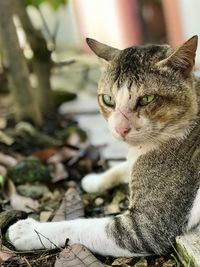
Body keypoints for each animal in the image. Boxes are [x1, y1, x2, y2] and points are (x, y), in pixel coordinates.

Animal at [7, 35, 200, 258]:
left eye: (147, 99)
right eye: (108, 100)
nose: (120, 128)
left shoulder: (147, 227)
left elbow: (79, 227)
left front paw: (27, 230)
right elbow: (121, 167)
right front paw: (92, 180)